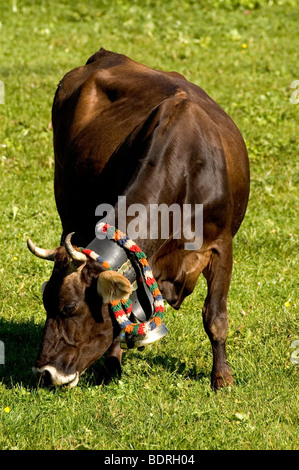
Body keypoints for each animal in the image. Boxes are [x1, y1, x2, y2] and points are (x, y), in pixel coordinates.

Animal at [28, 49, 250, 392]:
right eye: (45, 303)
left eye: (70, 308)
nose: (46, 373)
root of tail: (104, 55)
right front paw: (112, 365)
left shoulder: (221, 245)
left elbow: (215, 316)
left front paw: (222, 378)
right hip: (67, 203)